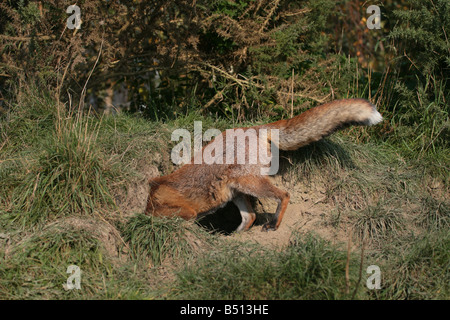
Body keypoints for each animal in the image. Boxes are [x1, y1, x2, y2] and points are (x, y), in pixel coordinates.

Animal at [145, 99, 384, 231]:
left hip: (248, 182)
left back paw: (274, 224)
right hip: (237, 190)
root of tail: (252, 127)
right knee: (250, 217)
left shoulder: (183, 211)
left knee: (284, 195)